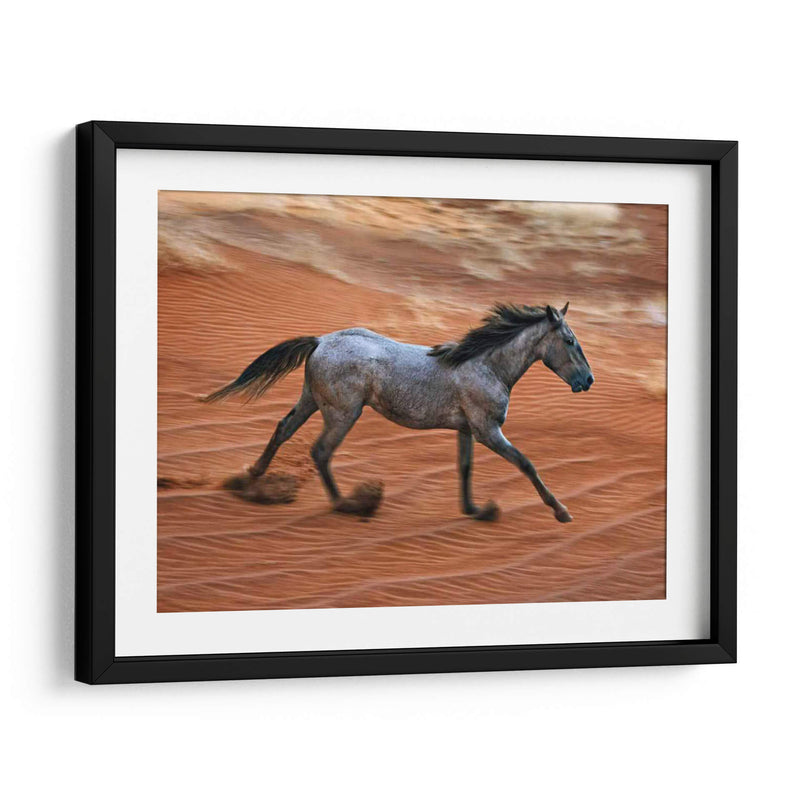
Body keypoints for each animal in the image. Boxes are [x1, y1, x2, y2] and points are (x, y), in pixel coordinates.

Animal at [203, 302, 594, 522]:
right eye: (570, 341)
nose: (588, 380)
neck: (487, 366)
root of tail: (321, 341)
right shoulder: (487, 430)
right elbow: (526, 463)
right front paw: (561, 512)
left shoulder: (467, 429)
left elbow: (465, 468)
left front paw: (475, 510)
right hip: (343, 413)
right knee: (321, 451)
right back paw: (347, 504)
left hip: (312, 400)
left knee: (283, 429)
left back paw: (250, 479)